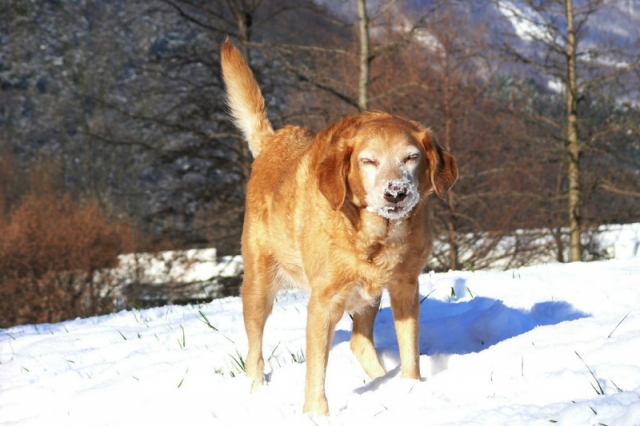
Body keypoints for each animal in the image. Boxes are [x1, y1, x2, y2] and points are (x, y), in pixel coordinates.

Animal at [220, 40, 456, 416]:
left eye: (411, 157)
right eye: (368, 161)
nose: (396, 191)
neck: (374, 235)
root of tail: (272, 141)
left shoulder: (404, 286)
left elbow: (410, 351)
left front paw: (410, 388)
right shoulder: (323, 303)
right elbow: (316, 369)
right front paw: (315, 414)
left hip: (368, 295)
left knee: (360, 341)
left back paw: (381, 380)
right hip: (258, 286)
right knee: (254, 353)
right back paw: (256, 393)